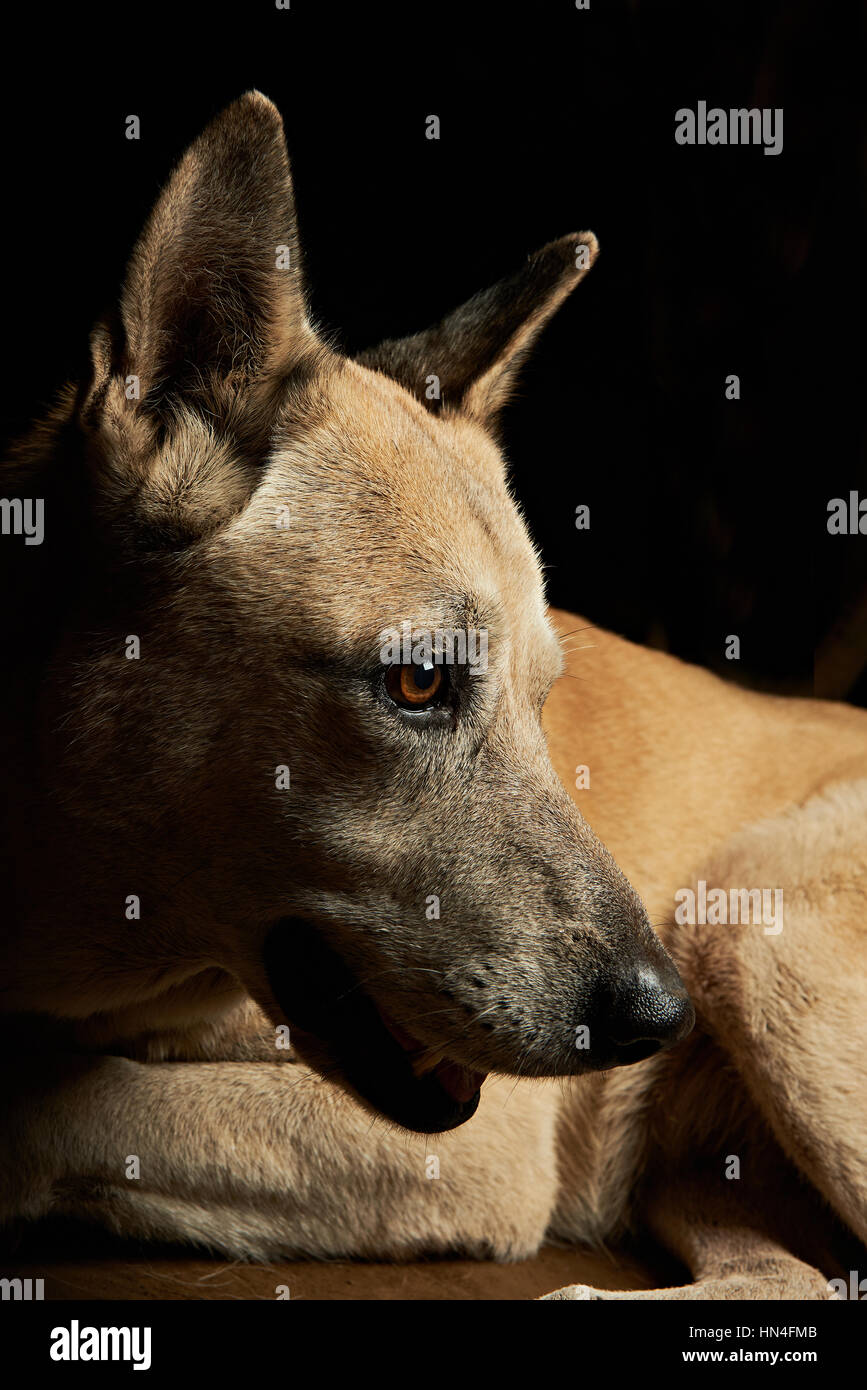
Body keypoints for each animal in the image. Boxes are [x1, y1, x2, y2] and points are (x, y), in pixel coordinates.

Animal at [1, 92, 867, 1295]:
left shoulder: (482, 1149)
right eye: (418, 682)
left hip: (759, 930)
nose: (660, 1021)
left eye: (543, 700)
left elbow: (47, 1111)